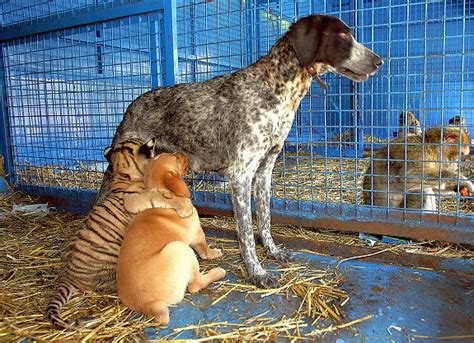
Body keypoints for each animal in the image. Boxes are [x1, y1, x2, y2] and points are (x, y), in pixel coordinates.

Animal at [98, 14, 384, 288]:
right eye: (343, 35)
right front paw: (256, 272)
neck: (276, 86)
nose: (379, 61)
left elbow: (265, 220)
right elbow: (246, 231)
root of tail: (132, 103)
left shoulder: (264, 172)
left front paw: (273, 252)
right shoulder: (240, 175)